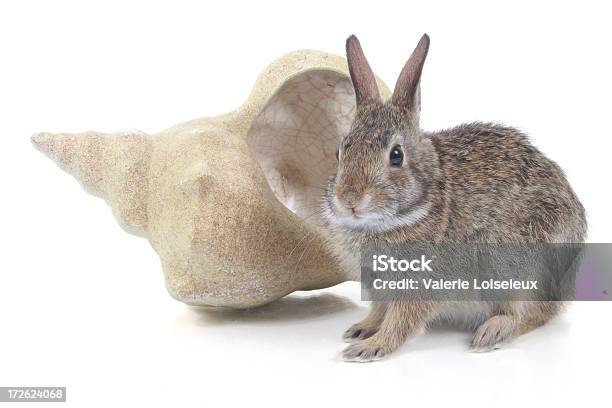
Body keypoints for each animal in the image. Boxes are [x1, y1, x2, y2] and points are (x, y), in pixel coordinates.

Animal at [322, 33, 584, 362]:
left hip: (524, 267)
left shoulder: (423, 281)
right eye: (340, 151)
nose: (349, 200)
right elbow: (380, 310)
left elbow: (401, 319)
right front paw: (362, 329)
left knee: (533, 315)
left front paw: (371, 347)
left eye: (396, 155)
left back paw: (493, 331)